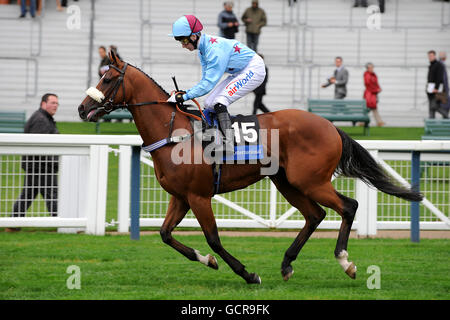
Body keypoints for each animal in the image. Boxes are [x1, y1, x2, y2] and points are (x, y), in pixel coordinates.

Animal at [78, 50, 422, 284]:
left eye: (108, 78)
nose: (82, 108)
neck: (174, 134)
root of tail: (330, 125)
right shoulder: (180, 197)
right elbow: (165, 235)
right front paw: (207, 261)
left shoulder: (199, 197)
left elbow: (214, 238)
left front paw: (246, 273)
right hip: (287, 182)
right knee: (315, 215)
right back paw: (286, 264)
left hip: (310, 180)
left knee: (348, 206)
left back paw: (344, 261)